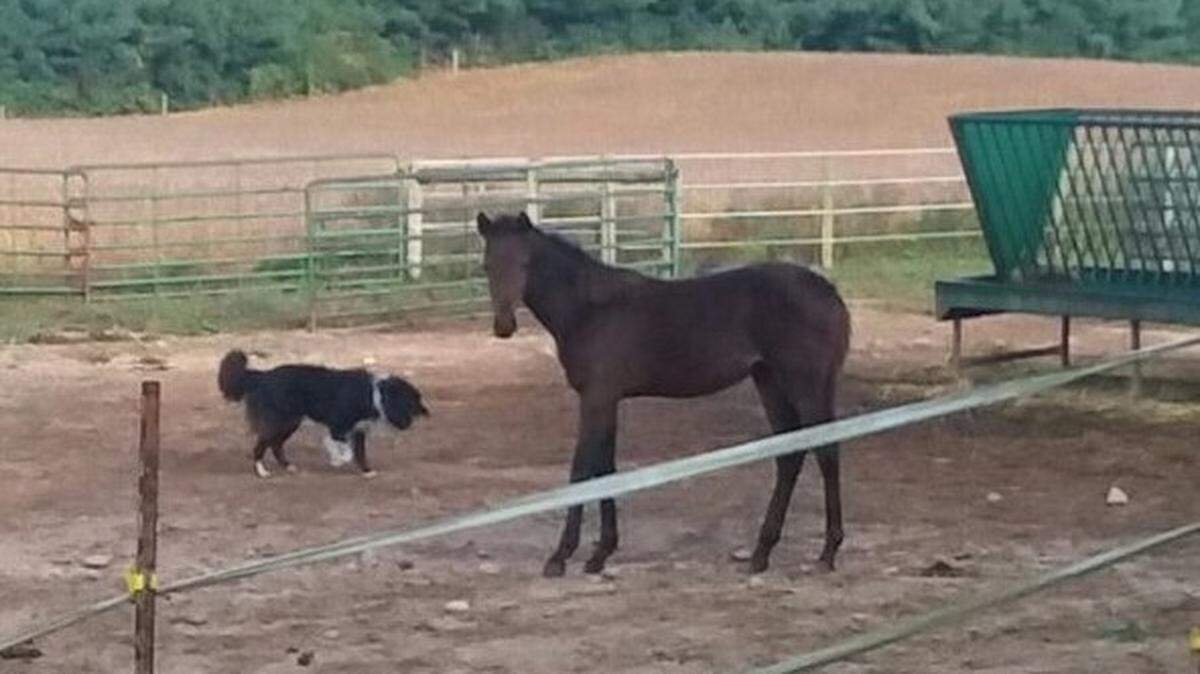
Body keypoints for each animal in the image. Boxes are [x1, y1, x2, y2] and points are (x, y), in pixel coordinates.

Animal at [476, 211, 851, 577]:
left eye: (525, 262)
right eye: (487, 264)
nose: (504, 326)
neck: (590, 308)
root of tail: (828, 290)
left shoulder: (596, 397)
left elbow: (582, 470)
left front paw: (560, 556)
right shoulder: (607, 399)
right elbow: (605, 467)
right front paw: (600, 554)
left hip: (804, 384)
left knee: (826, 452)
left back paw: (827, 553)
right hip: (769, 381)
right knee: (789, 454)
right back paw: (761, 554)